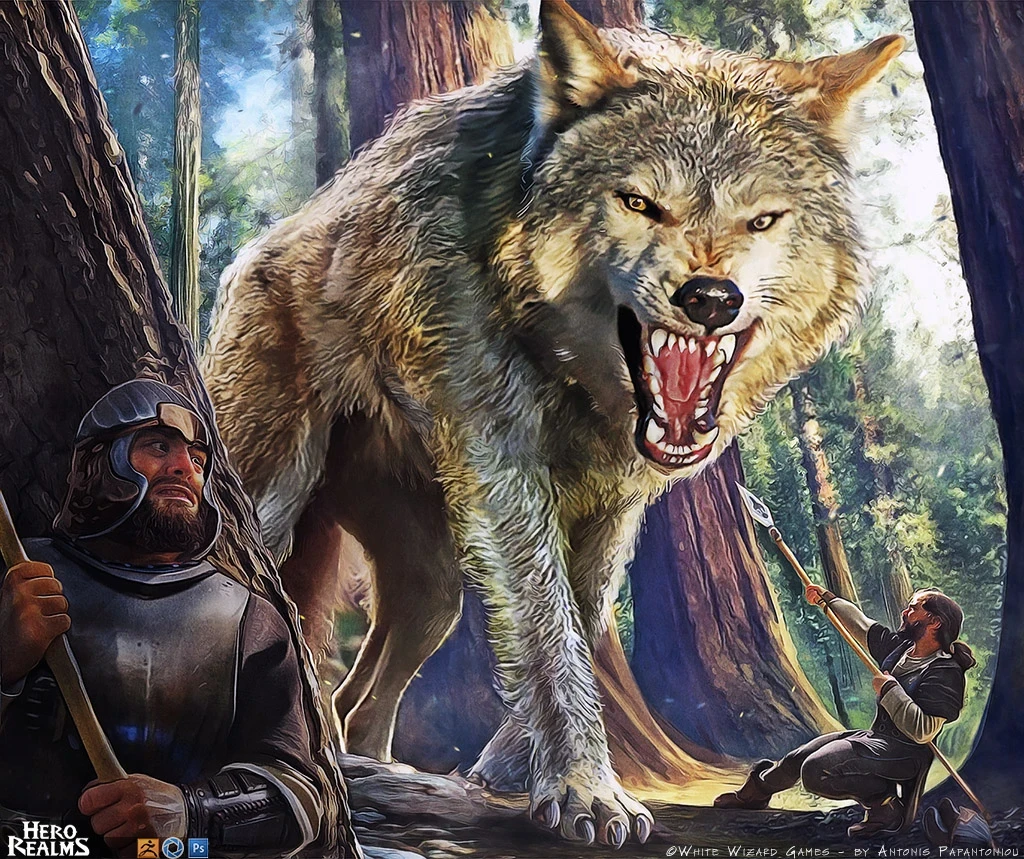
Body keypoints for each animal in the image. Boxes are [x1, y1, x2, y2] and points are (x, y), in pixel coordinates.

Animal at [202, 1, 903, 846]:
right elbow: (548, 628)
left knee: (355, 700)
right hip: (268, 511)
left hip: (433, 590)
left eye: (763, 219)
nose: (710, 297)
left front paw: (509, 765)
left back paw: (373, 770)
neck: (580, 386)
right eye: (639, 203)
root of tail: (256, 253)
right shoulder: (507, 472)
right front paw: (583, 787)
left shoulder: (617, 502)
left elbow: (588, 611)